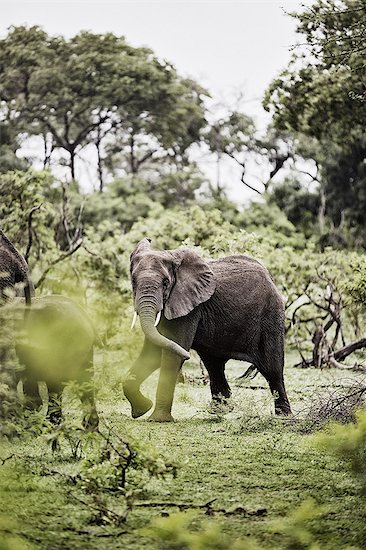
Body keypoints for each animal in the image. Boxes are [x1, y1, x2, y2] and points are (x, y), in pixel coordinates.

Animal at [123, 239, 292, 424]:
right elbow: (154, 351)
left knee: (272, 368)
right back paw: (220, 410)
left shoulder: (190, 308)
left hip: (271, 315)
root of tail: (270, 277)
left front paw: (158, 420)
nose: (187, 355)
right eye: (133, 282)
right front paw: (142, 410)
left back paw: (284, 416)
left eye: (166, 283)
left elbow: (171, 352)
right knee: (214, 364)